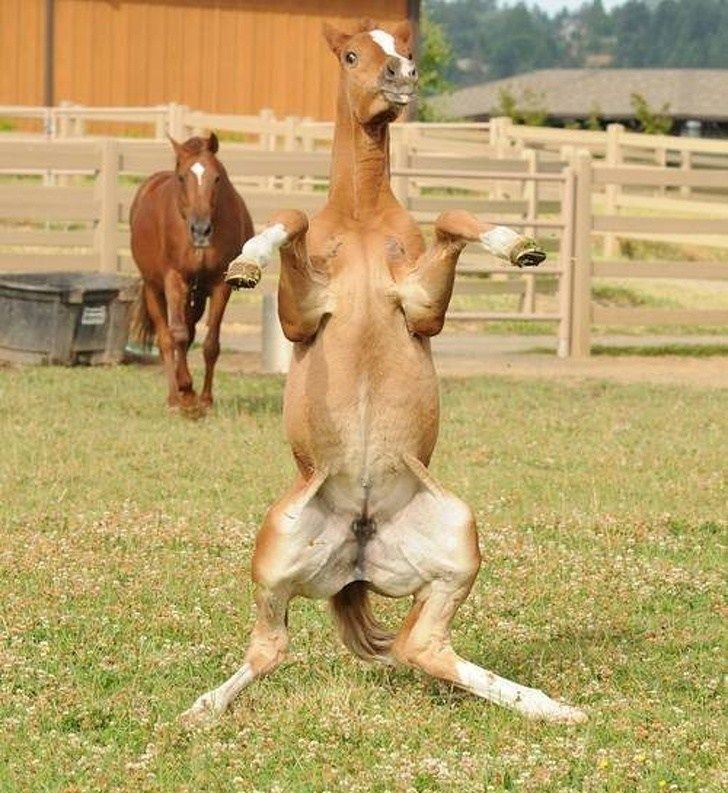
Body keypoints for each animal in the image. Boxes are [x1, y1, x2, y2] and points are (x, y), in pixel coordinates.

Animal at [130, 132, 253, 408]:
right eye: (182, 177)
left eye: (217, 177)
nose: (201, 230)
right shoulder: (174, 280)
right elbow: (177, 335)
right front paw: (185, 389)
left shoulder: (219, 285)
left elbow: (211, 344)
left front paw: (205, 399)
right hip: (154, 289)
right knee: (166, 338)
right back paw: (175, 396)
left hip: (195, 297)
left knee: (190, 329)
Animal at [182, 18, 584, 724]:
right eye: (351, 54)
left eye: (404, 48)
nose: (403, 77)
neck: (364, 219)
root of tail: (359, 557)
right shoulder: (303, 318)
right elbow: (290, 220)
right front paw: (246, 263)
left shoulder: (421, 308)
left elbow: (452, 221)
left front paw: (520, 246)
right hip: (277, 547)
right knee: (272, 648)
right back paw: (202, 708)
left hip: (457, 537)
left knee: (418, 647)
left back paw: (549, 708)